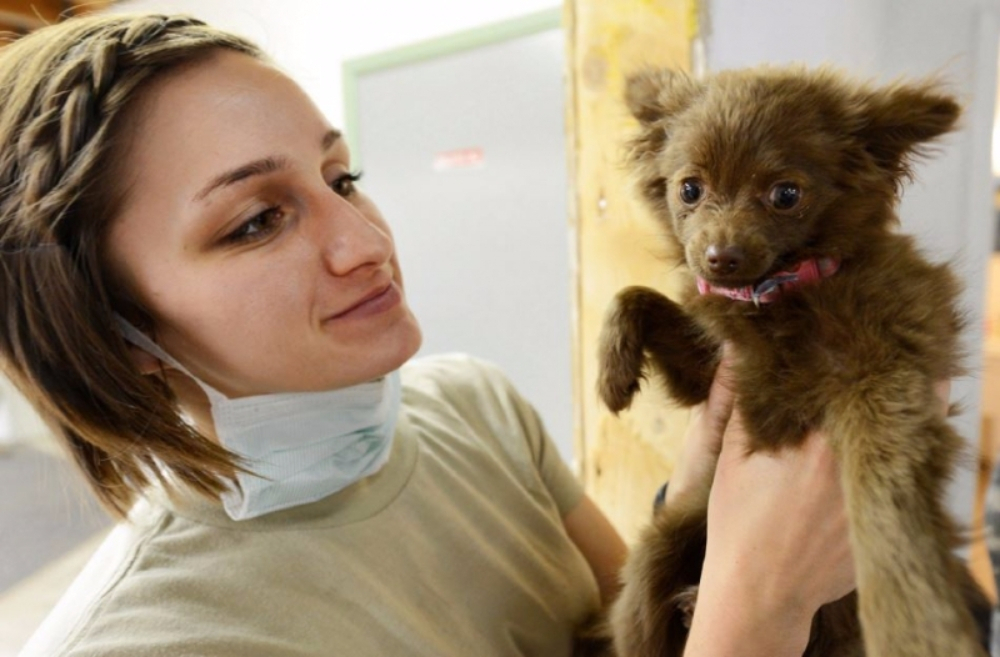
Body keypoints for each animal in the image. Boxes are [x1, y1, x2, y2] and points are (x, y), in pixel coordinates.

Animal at [600, 68, 992, 656]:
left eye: (785, 195)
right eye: (690, 189)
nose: (720, 258)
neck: (780, 296)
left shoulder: (890, 378)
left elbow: (882, 495)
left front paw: (913, 622)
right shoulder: (709, 374)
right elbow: (634, 294)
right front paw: (613, 372)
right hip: (659, 551)